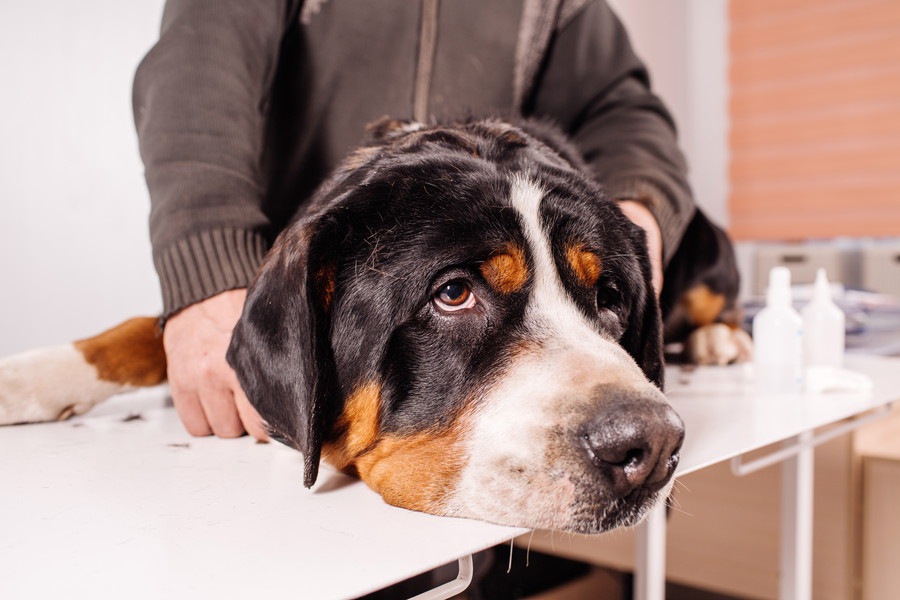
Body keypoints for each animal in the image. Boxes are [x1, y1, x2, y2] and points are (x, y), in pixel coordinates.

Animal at [0, 117, 748, 536]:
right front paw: (29, 375)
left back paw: (723, 337)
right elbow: (141, 331)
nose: (651, 444)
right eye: (453, 294)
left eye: (611, 296)